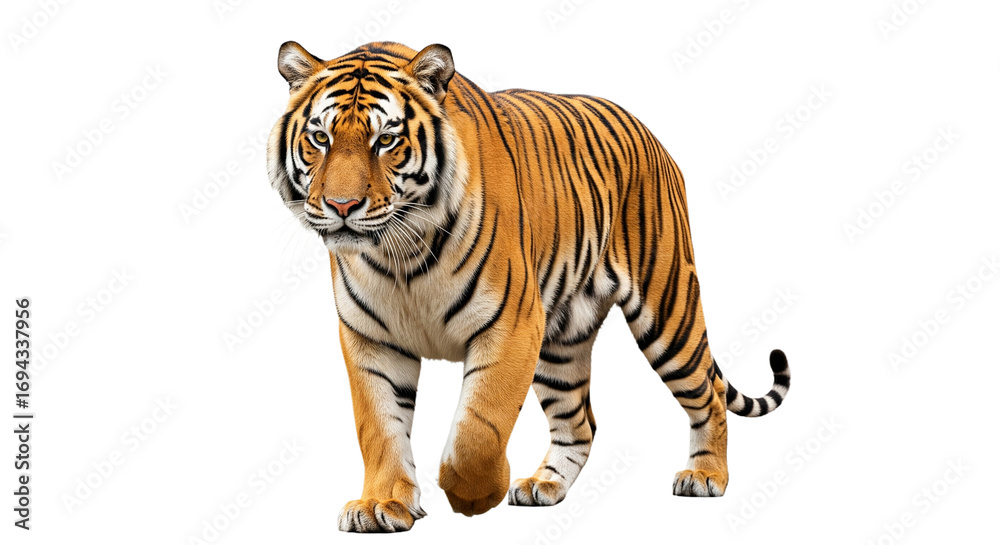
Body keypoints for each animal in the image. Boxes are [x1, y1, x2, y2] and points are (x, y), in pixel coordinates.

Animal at [267, 41, 791, 533]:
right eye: (320, 138)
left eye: (386, 140)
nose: (341, 205)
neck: (402, 255)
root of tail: (650, 134)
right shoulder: (370, 340)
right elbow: (378, 427)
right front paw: (382, 505)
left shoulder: (511, 324)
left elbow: (478, 429)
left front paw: (472, 495)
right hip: (561, 341)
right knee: (580, 422)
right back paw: (546, 484)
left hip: (668, 311)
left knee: (709, 393)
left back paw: (706, 476)